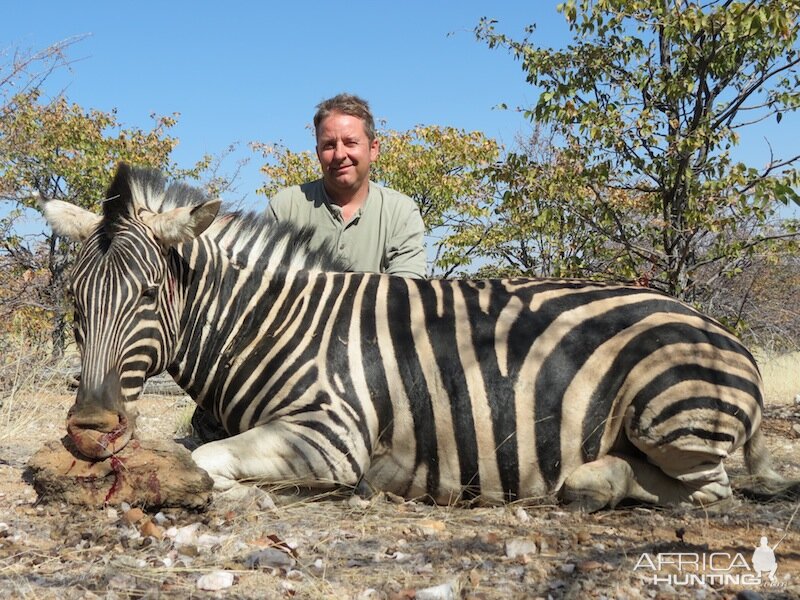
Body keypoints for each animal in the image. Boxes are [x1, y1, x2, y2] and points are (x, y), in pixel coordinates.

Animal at [42, 164, 792, 510]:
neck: (273, 325)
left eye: (146, 296)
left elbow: (211, 459)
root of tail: (716, 328)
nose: (89, 430)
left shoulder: (329, 434)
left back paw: (594, 484)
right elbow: (195, 447)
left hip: (669, 420)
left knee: (709, 488)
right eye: (73, 298)